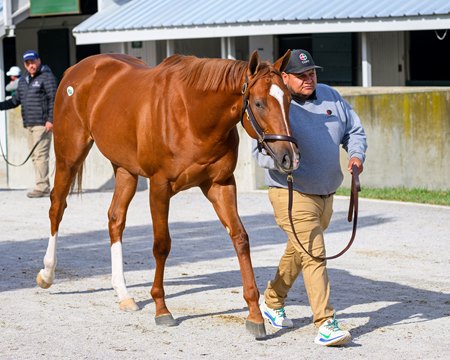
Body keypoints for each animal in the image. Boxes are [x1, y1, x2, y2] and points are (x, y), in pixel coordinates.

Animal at [37, 50, 300, 338]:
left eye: (289, 100)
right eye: (260, 103)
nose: (289, 157)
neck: (193, 116)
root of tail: (74, 71)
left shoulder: (220, 185)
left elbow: (240, 239)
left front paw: (254, 314)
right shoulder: (159, 187)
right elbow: (162, 245)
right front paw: (162, 309)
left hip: (125, 169)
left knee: (115, 219)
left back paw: (123, 294)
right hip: (69, 156)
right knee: (57, 207)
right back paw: (47, 274)